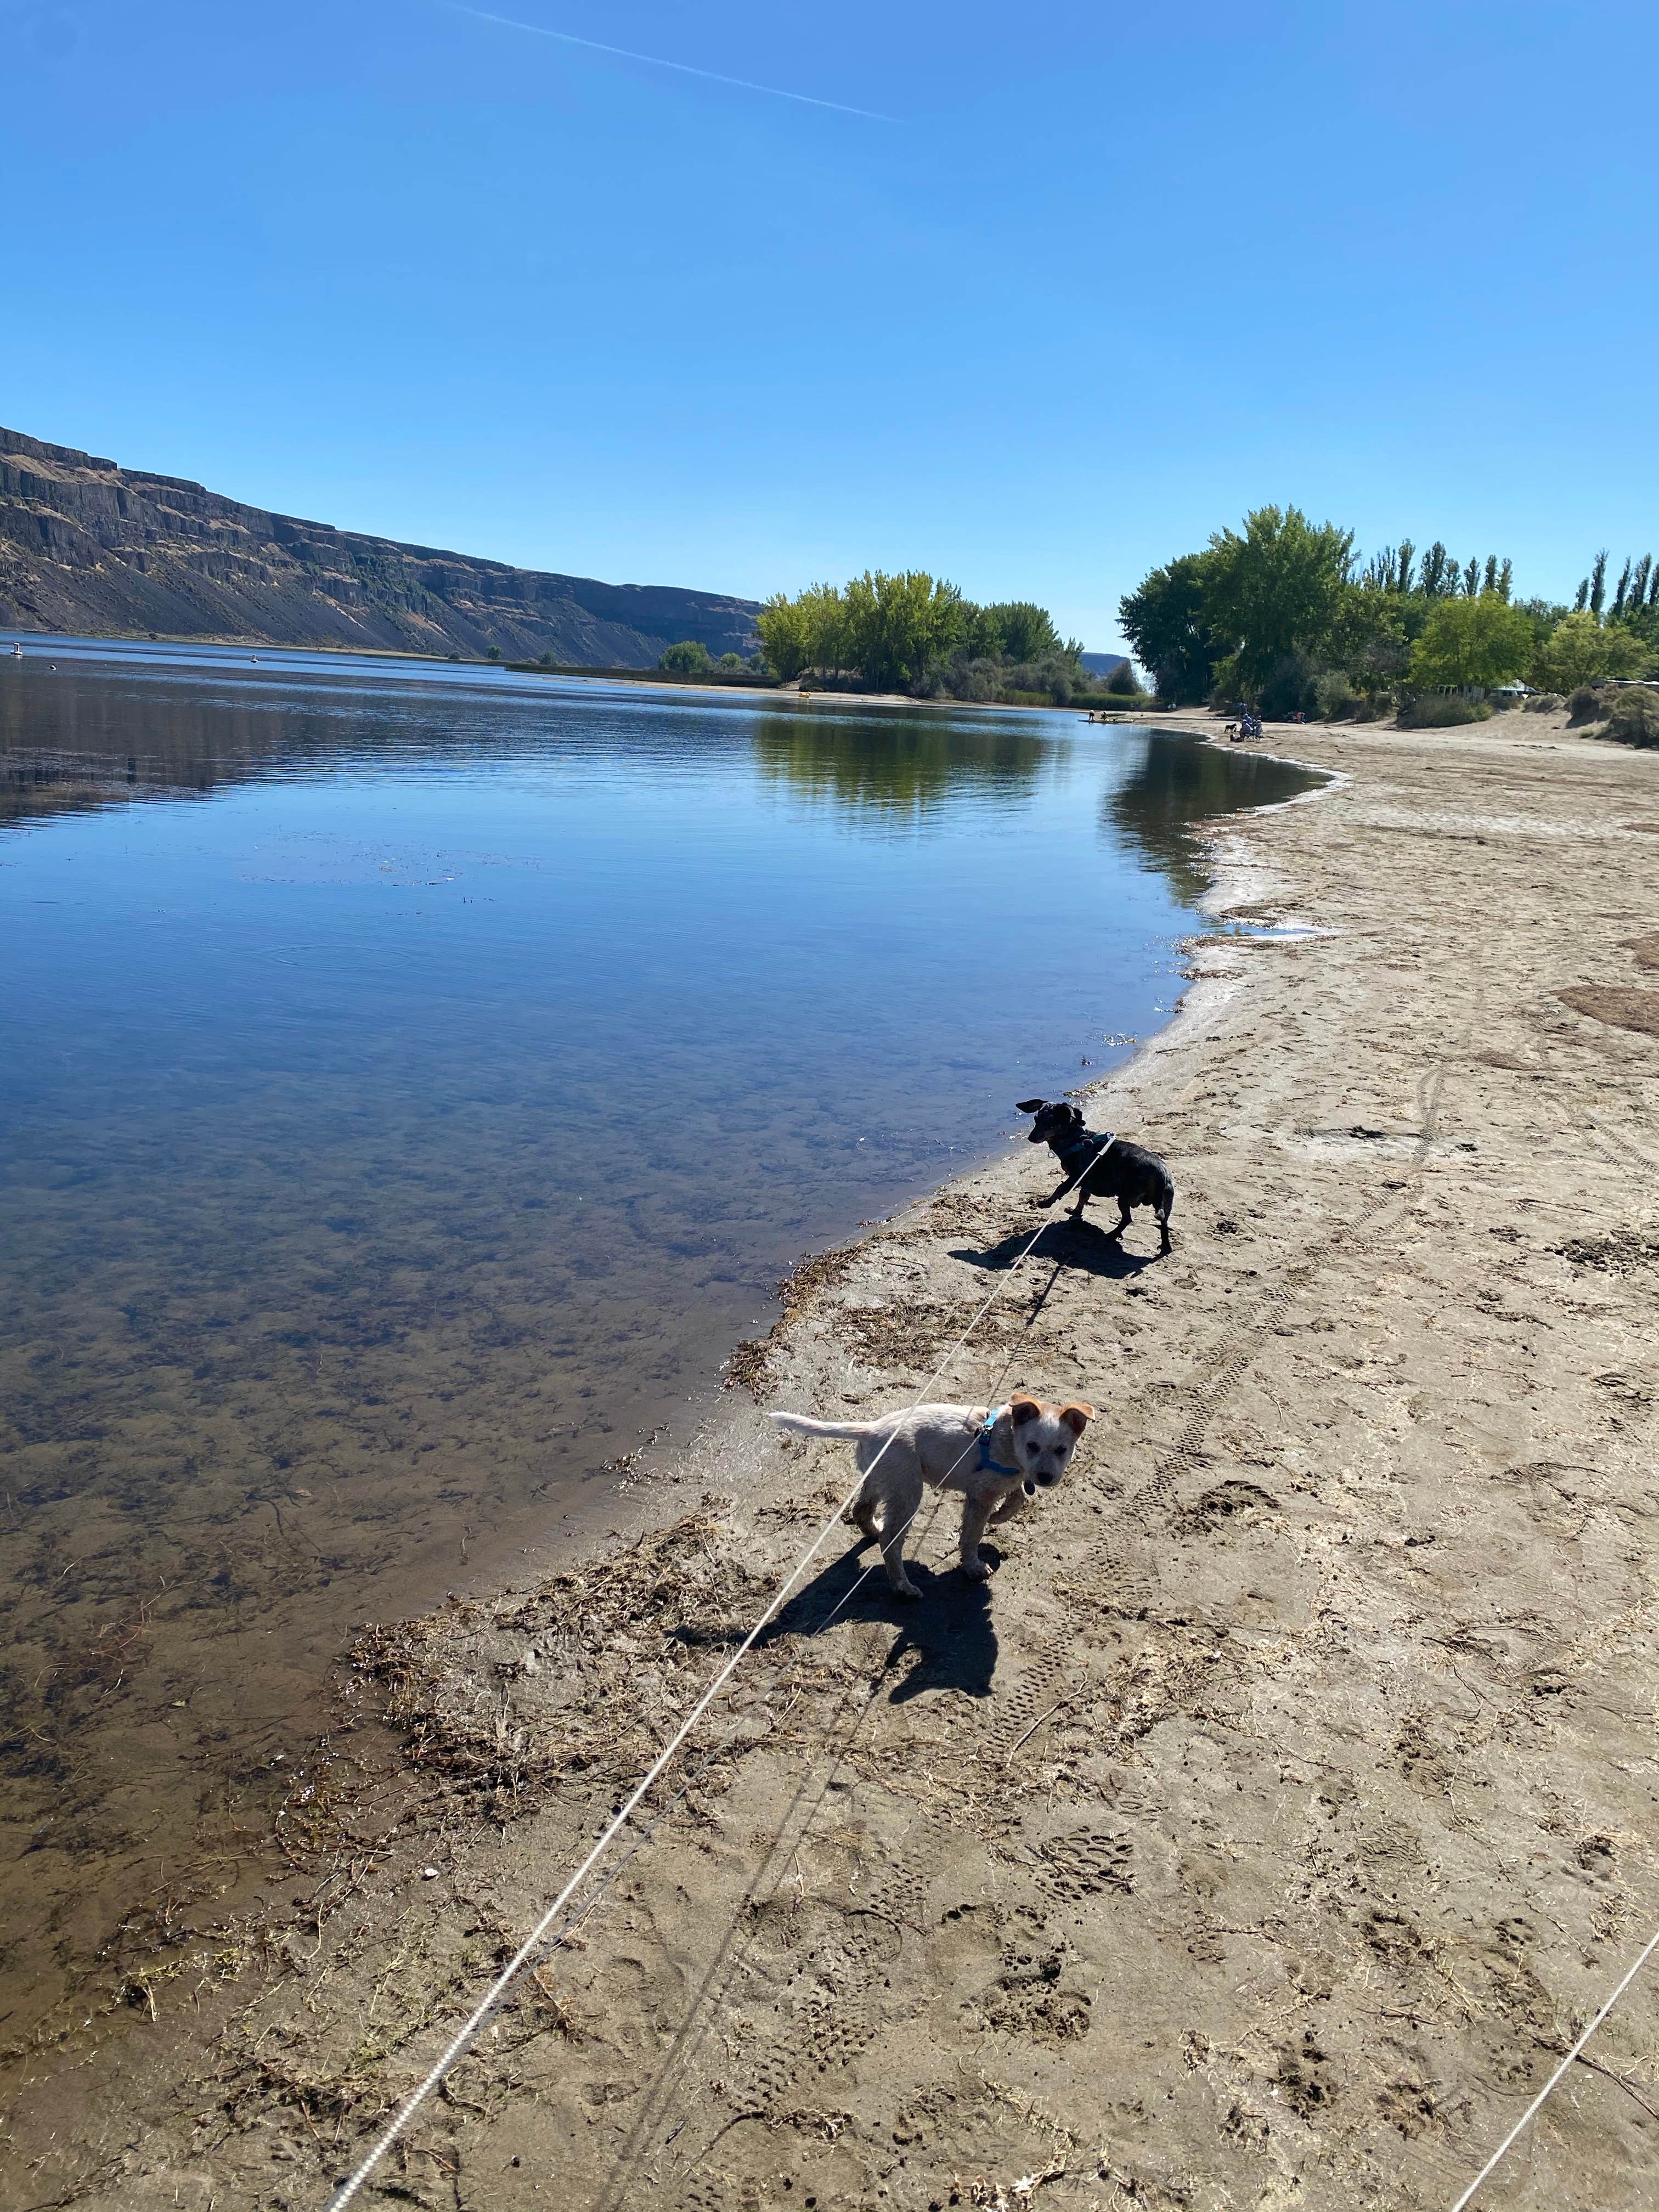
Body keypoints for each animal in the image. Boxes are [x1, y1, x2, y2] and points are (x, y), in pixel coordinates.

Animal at [774, 1389, 1097, 1601]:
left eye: (1062, 1450)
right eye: (1032, 1446)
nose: (1045, 1478)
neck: (1007, 1436)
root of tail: (871, 1429)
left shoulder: (1008, 1480)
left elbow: (1017, 1499)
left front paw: (1000, 1517)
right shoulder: (981, 1494)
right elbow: (972, 1535)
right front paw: (974, 1566)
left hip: (882, 1480)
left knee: (861, 1510)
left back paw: (873, 1532)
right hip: (907, 1492)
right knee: (891, 1542)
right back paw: (903, 1586)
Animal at [1013, 1097, 1186, 1256]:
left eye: (1049, 1122)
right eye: (1036, 1119)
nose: (1031, 1138)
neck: (1076, 1139)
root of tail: (1162, 1174)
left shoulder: (1076, 1177)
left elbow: (1061, 1188)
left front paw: (1046, 1203)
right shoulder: (1086, 1183)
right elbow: (1083, 1197)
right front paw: (1075, 1211)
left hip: (1124, 1198)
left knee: (1127, 1220)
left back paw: (1112, 1235)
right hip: (1165, 1204)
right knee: (1164, 1224)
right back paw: (1165, 1247)